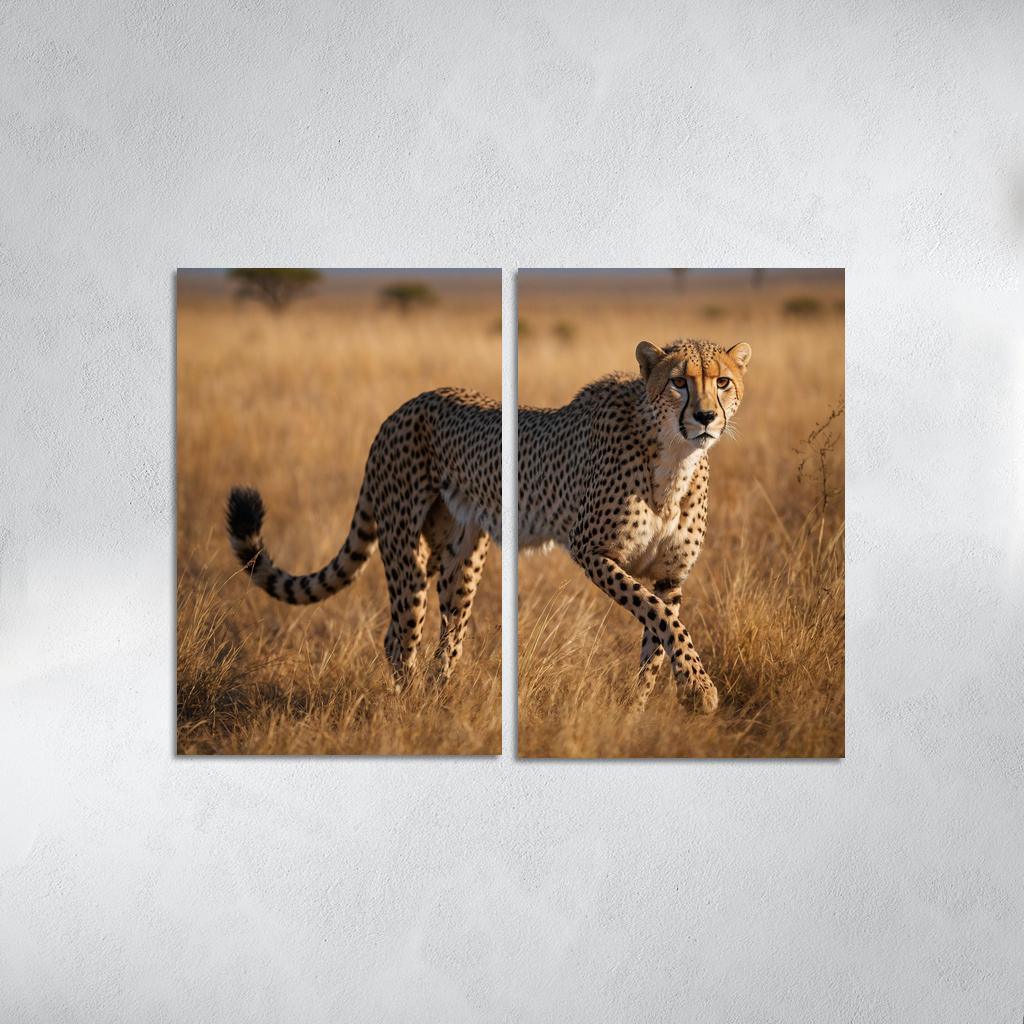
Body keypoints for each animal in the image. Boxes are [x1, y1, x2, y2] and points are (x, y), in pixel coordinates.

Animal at [226, 387, 500, 691]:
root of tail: (397, 414)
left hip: (453, 557)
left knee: (437, 628)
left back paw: (434, 691)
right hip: (405, 551)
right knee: (403, 633)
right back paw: (414, 696)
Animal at [518, 338, 752, 714]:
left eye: (722, 382)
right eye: (679, 382)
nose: (705, 417)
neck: (673, 459)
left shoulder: (670, 576)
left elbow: (658, 635)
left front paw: (637, 709)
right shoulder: (589, 549)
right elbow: (658, 612)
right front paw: (697, 685)